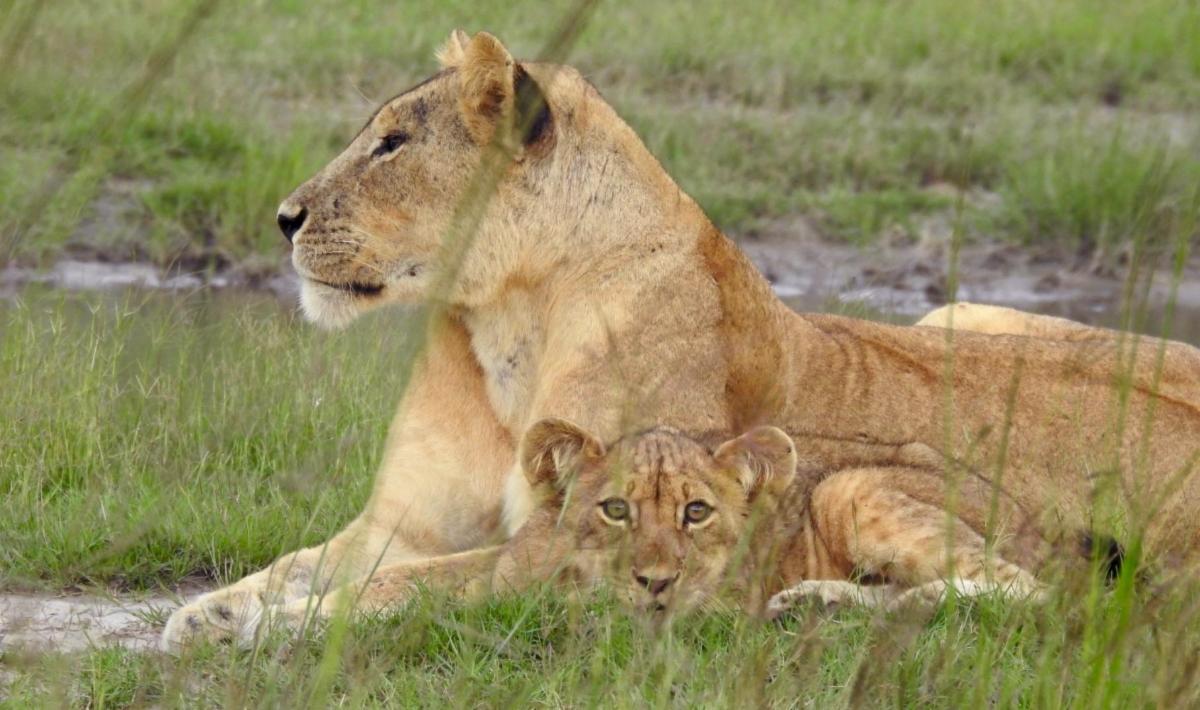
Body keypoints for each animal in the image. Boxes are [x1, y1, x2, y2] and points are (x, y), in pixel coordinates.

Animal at [162, 30, 1200, 649]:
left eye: (392, 144)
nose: (284, 218)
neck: (506, 320)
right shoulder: (402, 523)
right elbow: (306, 562)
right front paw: (209, 612)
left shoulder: (552, 539)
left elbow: (402, 589)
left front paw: (284, 625)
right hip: (958, 315)